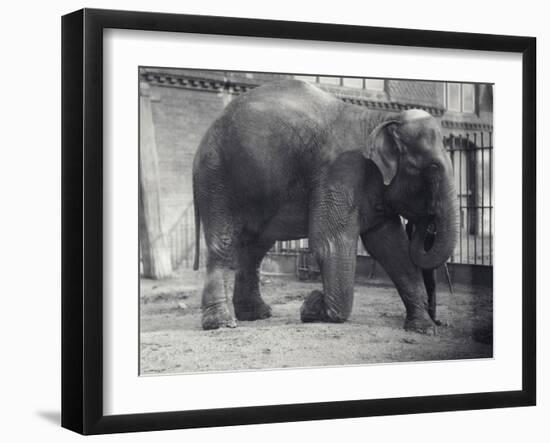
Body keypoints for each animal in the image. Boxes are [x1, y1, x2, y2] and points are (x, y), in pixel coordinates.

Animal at [194, 80, 462, 334]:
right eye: (433, 169)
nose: (427, 222)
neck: (379, 118)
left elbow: (392, 247)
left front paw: (424, 329)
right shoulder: (340, 171)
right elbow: (331, 243)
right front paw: (311, 305)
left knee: (255, 248)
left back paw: (256, 315)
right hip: (216, 177)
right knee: (224, 242)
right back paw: (221, 324)